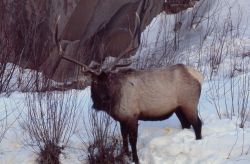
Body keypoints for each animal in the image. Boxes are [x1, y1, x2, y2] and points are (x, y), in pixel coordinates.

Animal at [54, 13, 203, 164]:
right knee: (186, 124)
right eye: (94, 82)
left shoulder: (132, 115)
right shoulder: (121, 119)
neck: (115, 103)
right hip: (178, 107)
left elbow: (133, 140)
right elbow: (123, 138)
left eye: (109, 79)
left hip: (190, 103)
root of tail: (198, 76)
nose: (106, 98)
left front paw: (136, 159)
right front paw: (125, 155)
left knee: (198, 124)